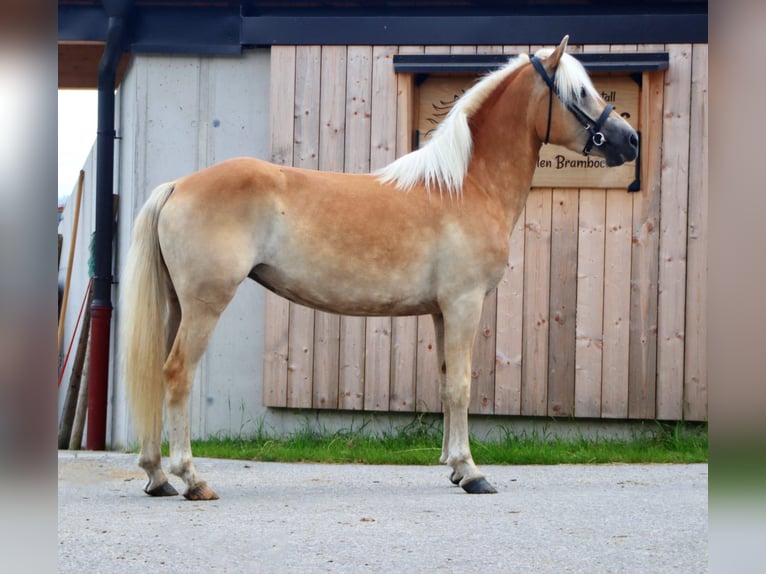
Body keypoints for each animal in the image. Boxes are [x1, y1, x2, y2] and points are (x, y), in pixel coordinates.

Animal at [123, 36, 640, 502]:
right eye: (579, 93)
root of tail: (178, 185)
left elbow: (445, 380)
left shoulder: (441, 311)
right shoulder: (464, 304)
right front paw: (472, 472)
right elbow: (461, 385)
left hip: (176, 306)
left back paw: (156, 476)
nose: (630, 140)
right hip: (205, 305)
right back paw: (191, 479)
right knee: (177, 374)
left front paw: (454, 467)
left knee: (156, 371)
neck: (465, 186)